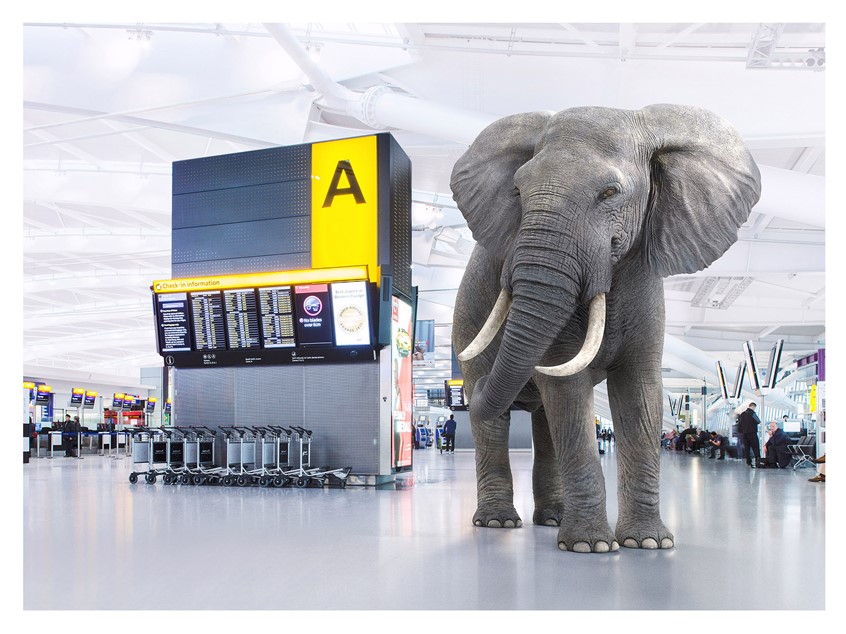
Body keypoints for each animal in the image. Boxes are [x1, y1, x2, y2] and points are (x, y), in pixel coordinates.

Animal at [450, 104, 761, 553]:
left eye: (610, 193)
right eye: (518, 192)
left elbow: (641, 396)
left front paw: (647, 543)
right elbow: (568, 390)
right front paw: (589, 547)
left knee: (544, 423)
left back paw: (551, 519)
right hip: (468, 317)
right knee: (499, 419)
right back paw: (497, 523)